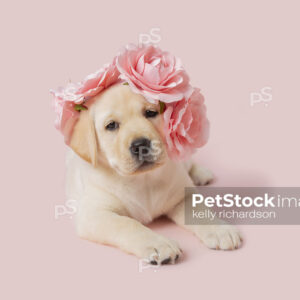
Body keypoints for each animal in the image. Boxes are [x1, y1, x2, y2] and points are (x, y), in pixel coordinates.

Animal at [65, 83, 241, 264]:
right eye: (111, 125)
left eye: (150, 113)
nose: (140, 145)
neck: (142, 180)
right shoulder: (94, 214)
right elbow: (128, 224)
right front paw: (159, 245)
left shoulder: (182, 196)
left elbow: (199, 210)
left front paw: (219, 229)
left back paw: (201, 173)